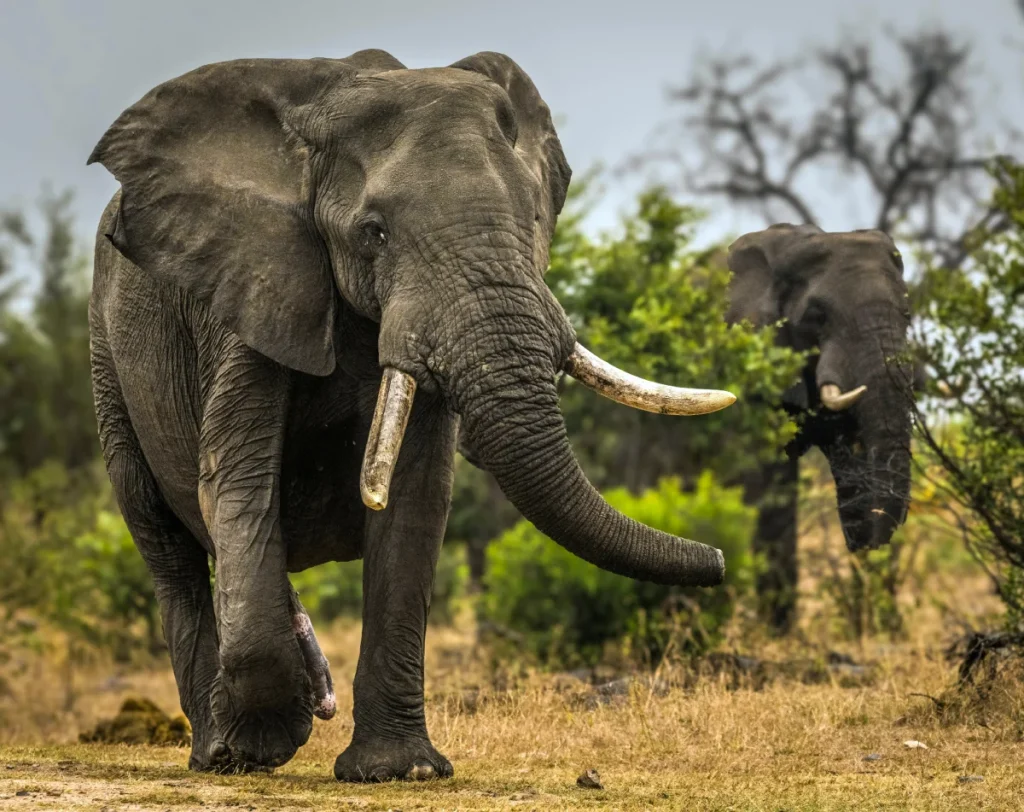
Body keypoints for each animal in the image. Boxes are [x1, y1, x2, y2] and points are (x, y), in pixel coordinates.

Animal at [81, 49, 737, 778]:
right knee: (164, 542)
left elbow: (416, 499)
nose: (719, 560)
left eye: (533, 221)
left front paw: (400, 770)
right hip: (106, 358)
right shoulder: (250, 292)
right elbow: (237, 481)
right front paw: (265, 743)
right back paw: (217, 752)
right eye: (374, 234)